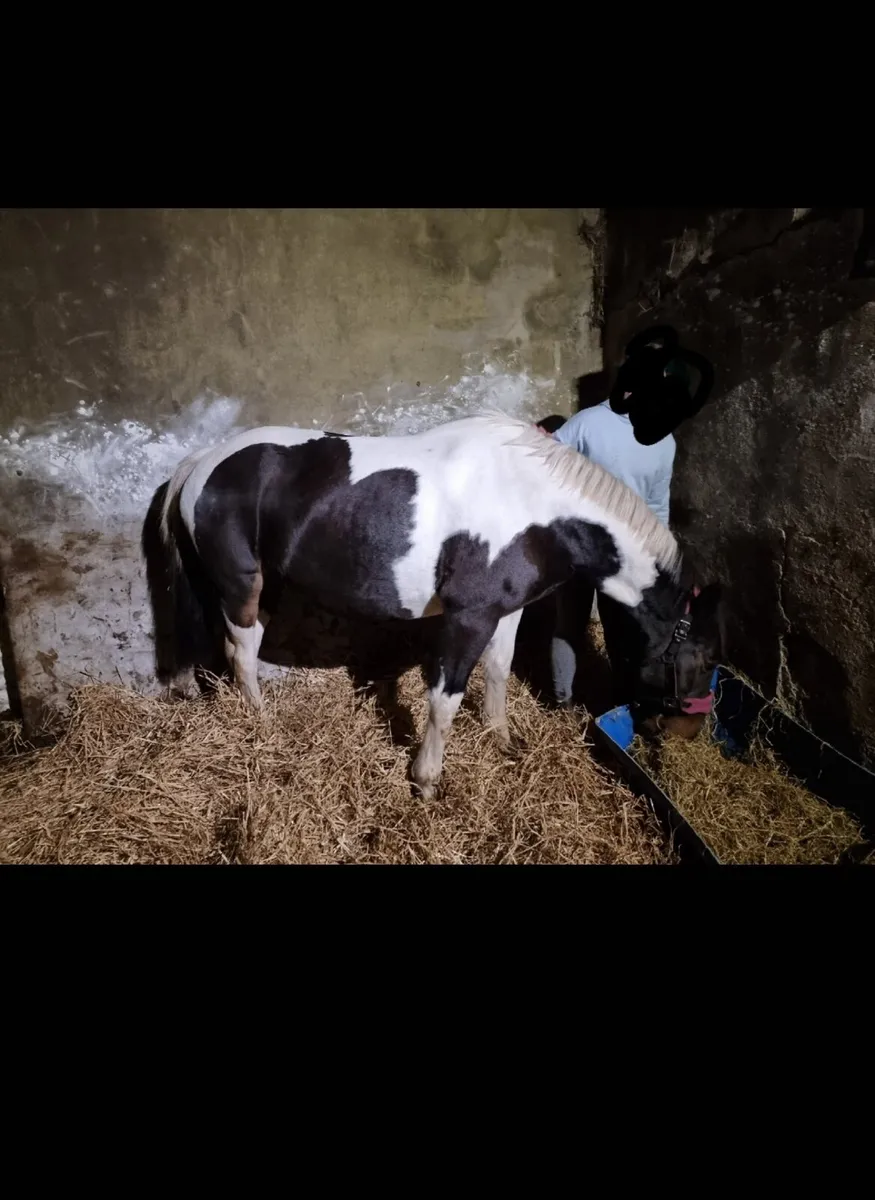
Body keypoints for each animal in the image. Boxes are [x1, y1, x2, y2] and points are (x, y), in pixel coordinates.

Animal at [141, 411, 724, 800]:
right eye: (703, 660)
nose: (689, 734)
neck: (535, 505)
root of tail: (202, 463)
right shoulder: (467, 618)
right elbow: (445, 698)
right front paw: (427, 782)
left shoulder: (503, 611)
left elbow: (499, 669)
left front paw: (500, 737)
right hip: (244, 585)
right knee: (241, 652)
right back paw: (264, 727)